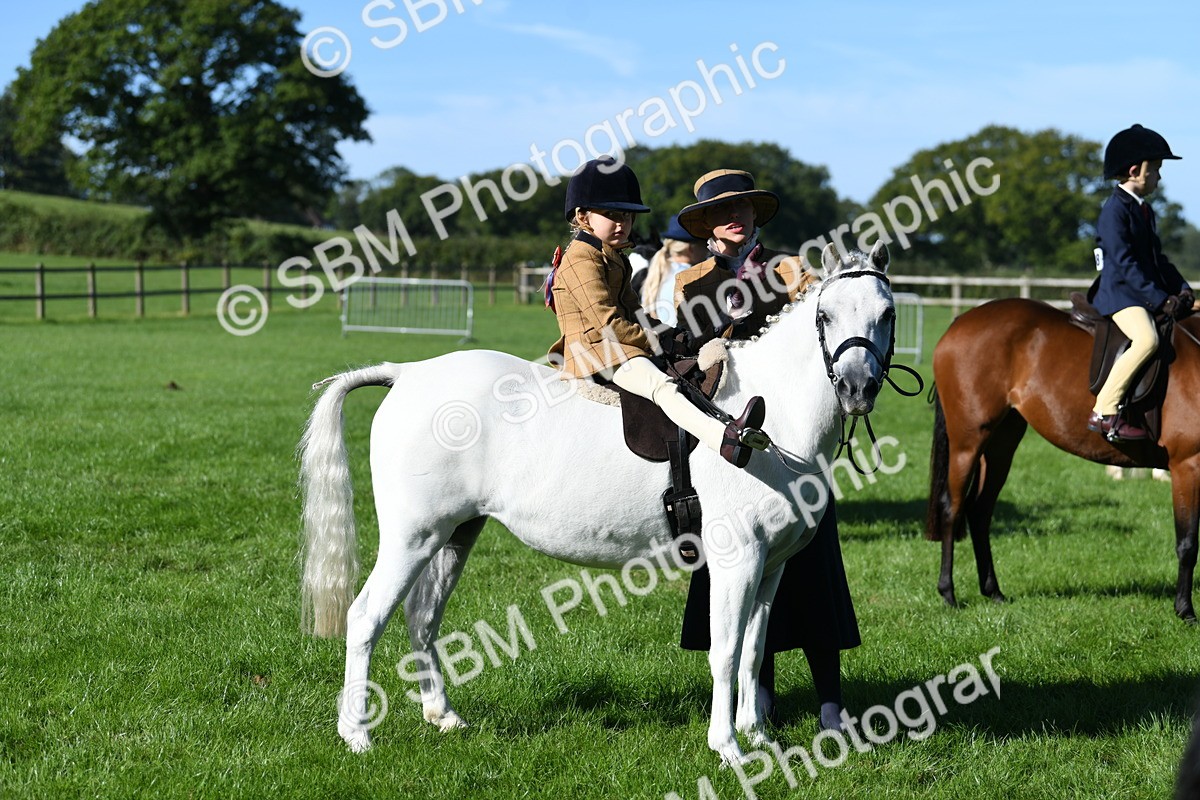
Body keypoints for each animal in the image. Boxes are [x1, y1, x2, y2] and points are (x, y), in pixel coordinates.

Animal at [298, 243, 897, 765]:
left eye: (887, 313)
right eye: (825, 315)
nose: (857, 389)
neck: (772, 419)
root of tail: (409, 374)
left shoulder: (772, 567)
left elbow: (754, 647)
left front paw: (757, 735)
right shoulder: (738, 561)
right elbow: (725, 650)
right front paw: (727, 747)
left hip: (454, 536)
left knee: (422, 618)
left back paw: (443, 716)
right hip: (412, 538)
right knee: (366, 617)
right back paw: (356, 735)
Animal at [926, 297, 1200, 622]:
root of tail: (961, 321)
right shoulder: (1188, 465)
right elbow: (1187, 542)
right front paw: (1185, 610)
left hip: (1000, 444)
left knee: (979, 511)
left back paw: (993, 591)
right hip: (967, 442)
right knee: (951, 507)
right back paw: (948, 593)